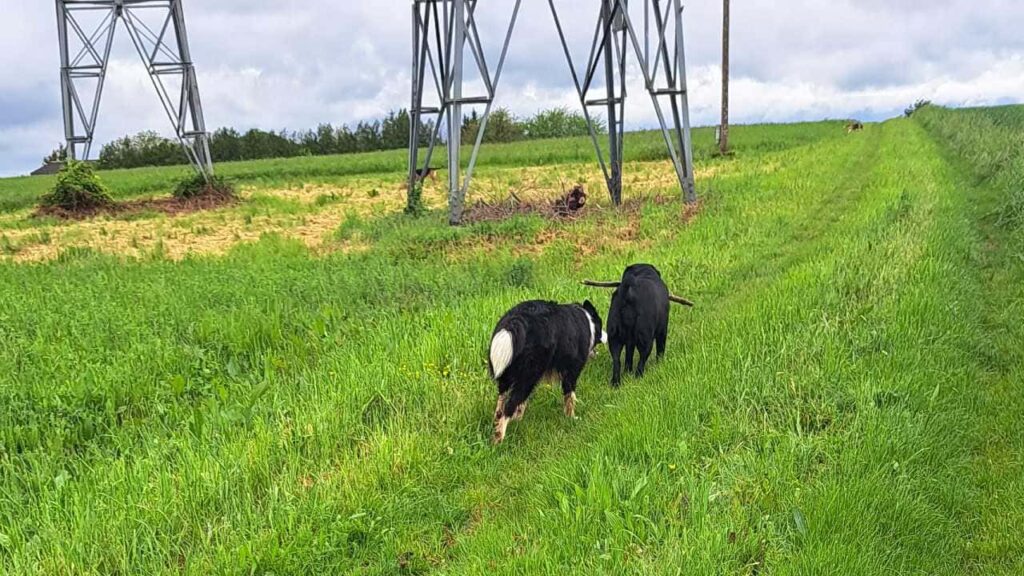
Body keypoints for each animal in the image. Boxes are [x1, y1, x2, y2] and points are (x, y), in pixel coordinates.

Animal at [489, 297, 602, 440]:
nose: (596, 353)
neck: (587, 320)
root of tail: (515, 320)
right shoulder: (571, 372)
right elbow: (570, 397)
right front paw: (571, 418)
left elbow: (522, 403)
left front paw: (518, 418)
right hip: (529, 374)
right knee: (510, 404)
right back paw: (499, 438)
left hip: (509, 373)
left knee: (502, 399)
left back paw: (497, 421)